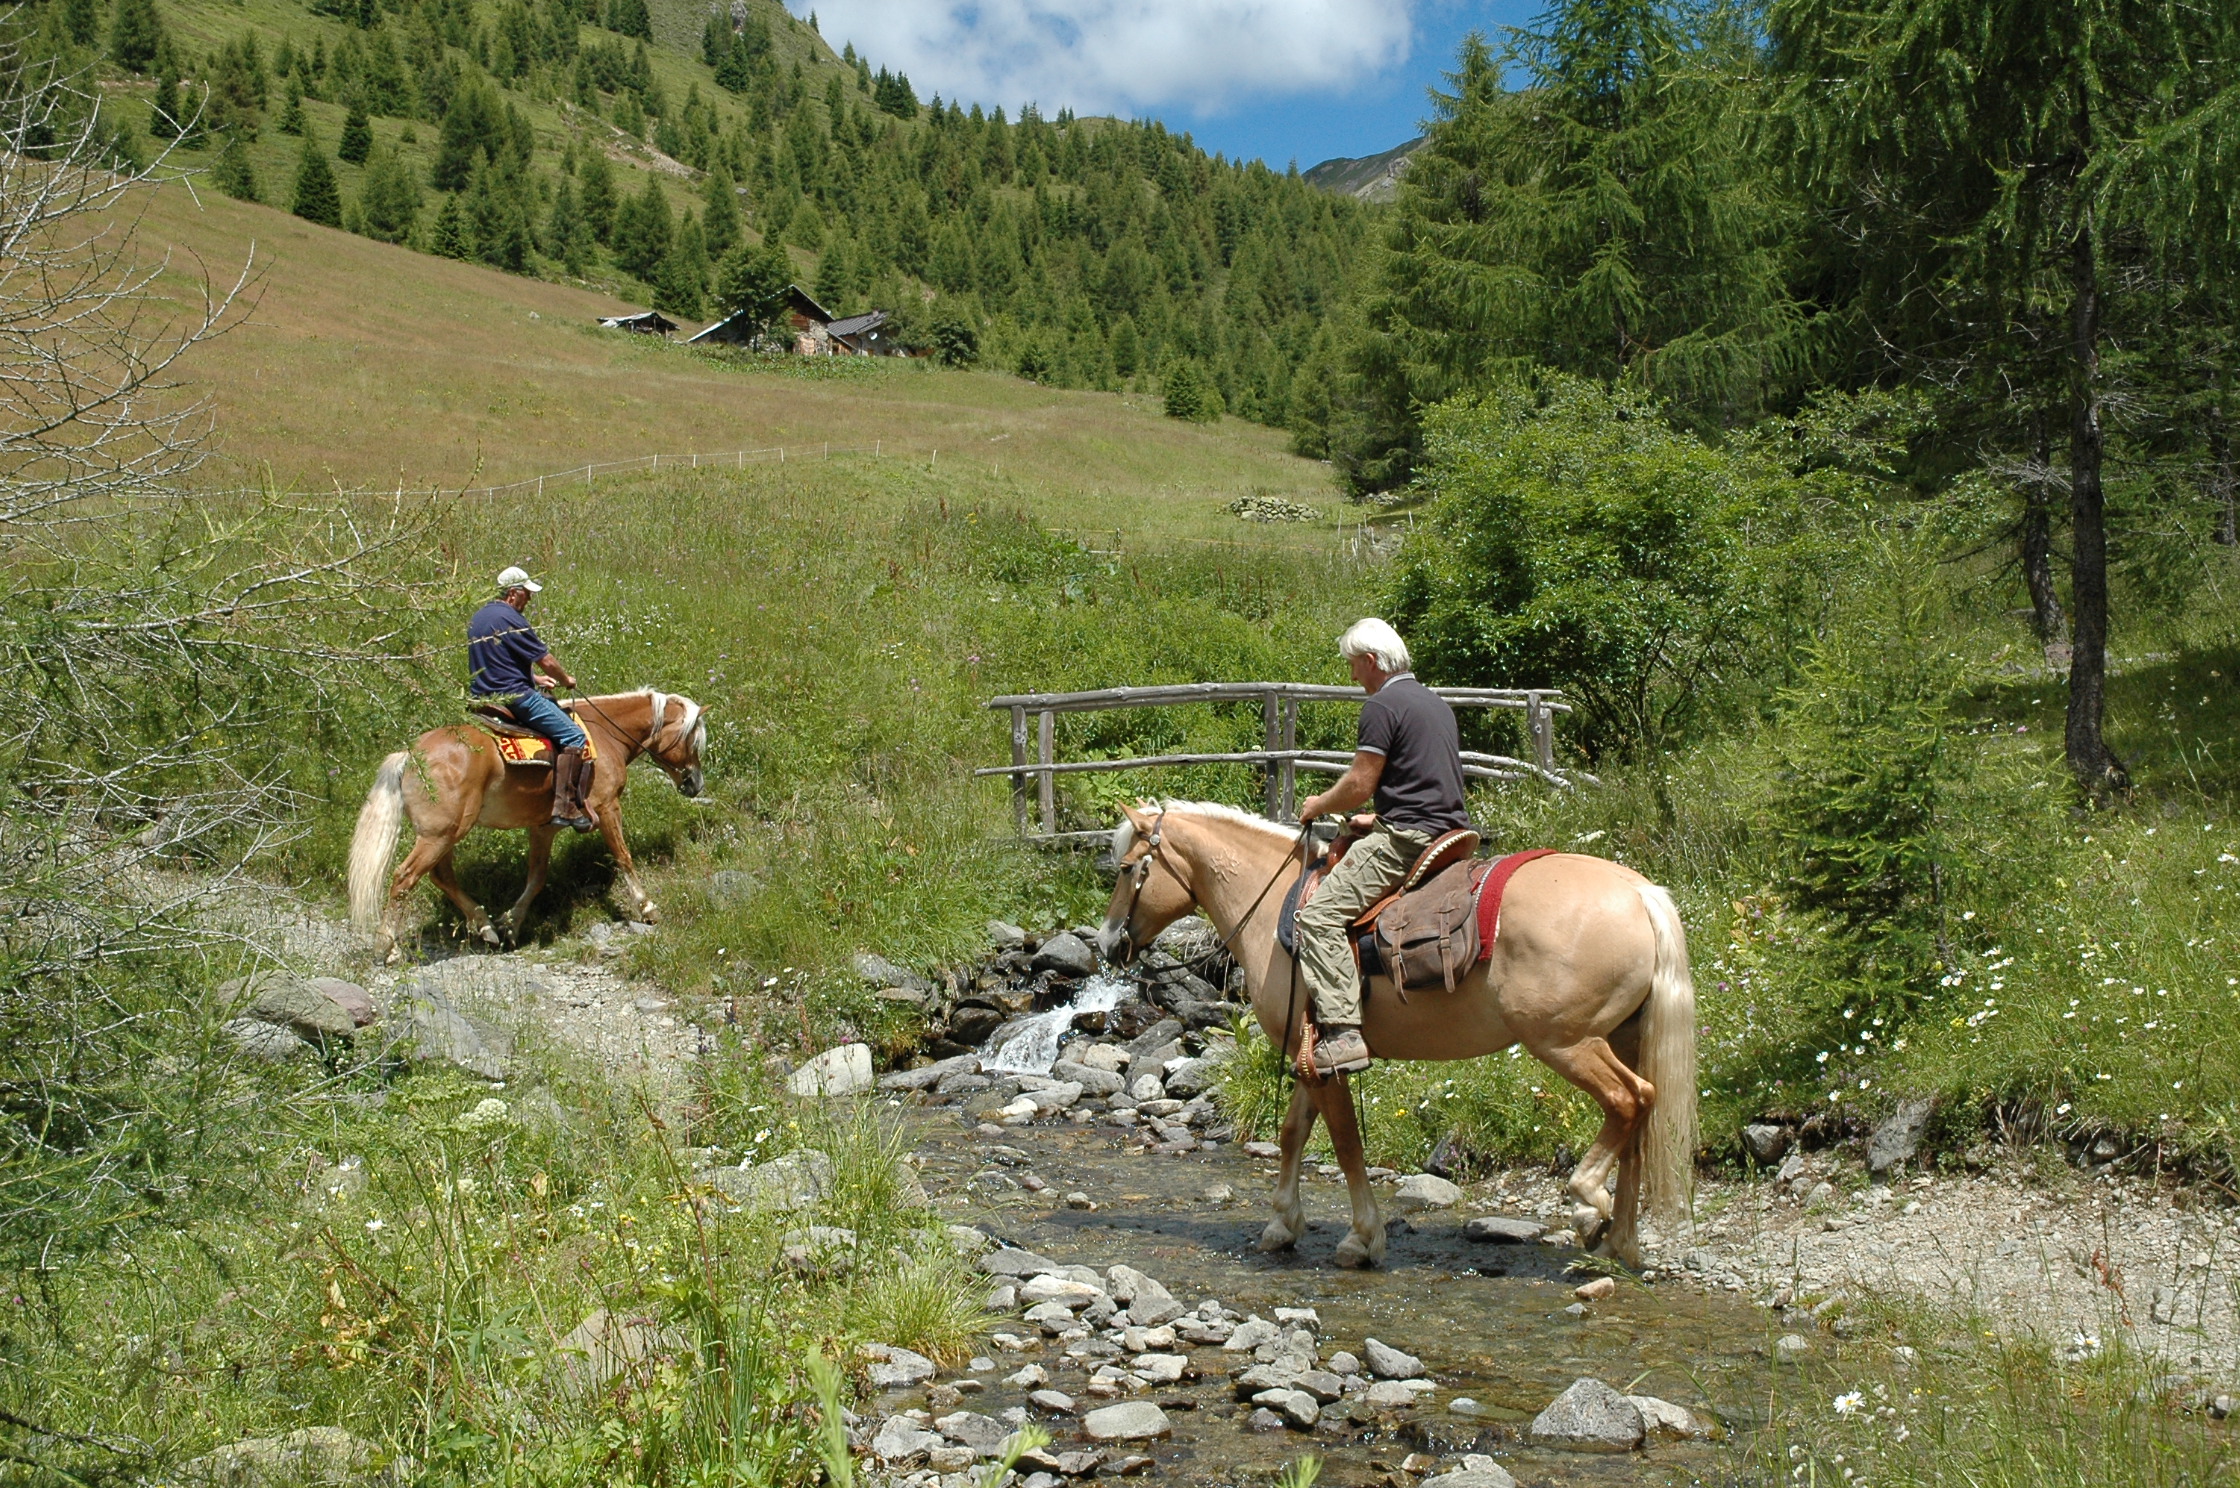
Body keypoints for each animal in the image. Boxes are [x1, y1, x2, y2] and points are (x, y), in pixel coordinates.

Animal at [347, 690, 707, 963]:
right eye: (693, 740)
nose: (695, 783)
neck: (607, 736)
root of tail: (411, 755)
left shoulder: (544, 827)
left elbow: (536, 877)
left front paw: (511, 925)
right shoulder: (607, 808)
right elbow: (623, 858)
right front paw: (647, 908)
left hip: (444, 834)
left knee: (441, 875)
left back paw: (485, 927)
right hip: (441, 834)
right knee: (404, 879)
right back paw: (388, 947)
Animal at [1088, 802, 1693, 1263]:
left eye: (1127, 868)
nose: (1108, 942)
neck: (1274, 906)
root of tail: (1640, 893)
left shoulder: (1328, 1060)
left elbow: (1345, 1143)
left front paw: (1362, 1237)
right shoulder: (1311, 1052)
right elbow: (1292, 1133)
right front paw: (1282, 1224)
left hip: (1567, 1042)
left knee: (1630, 1100)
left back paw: (1589, 1204)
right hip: (1623, 1039)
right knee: (1640, 1121)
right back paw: (1620, 1241)